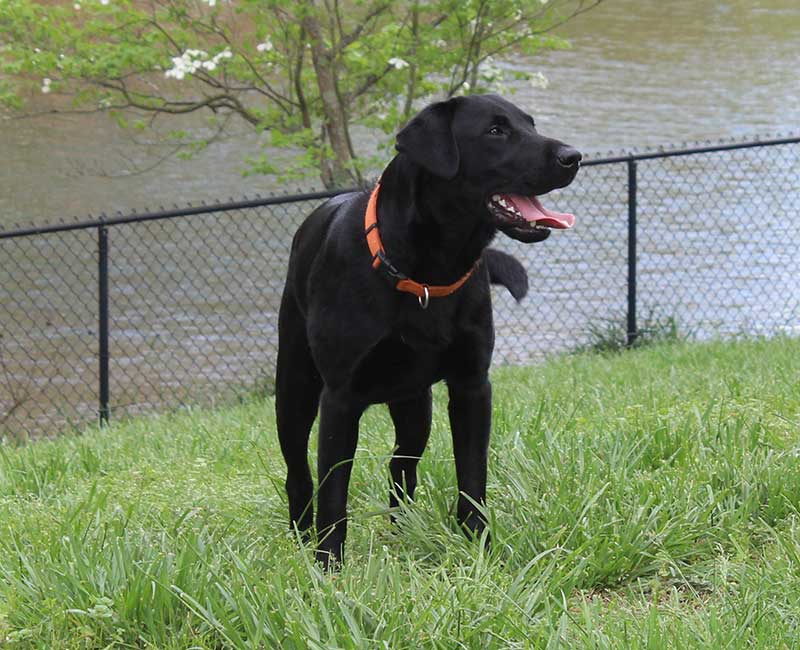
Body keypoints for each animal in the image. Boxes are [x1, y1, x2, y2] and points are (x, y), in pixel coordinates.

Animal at [276, 94, 580, 567]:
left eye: (530, 124)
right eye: (495, 131)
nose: (574, 156)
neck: (426, 272)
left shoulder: (472, 386)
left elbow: (472, 477)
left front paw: (479, 546)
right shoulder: (340, 398)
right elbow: (334, 491)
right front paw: (328, 565)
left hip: (415, 408)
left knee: (401, 468)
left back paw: (401, 530)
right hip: (294, 390)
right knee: (299, 472)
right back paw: (301, 535)